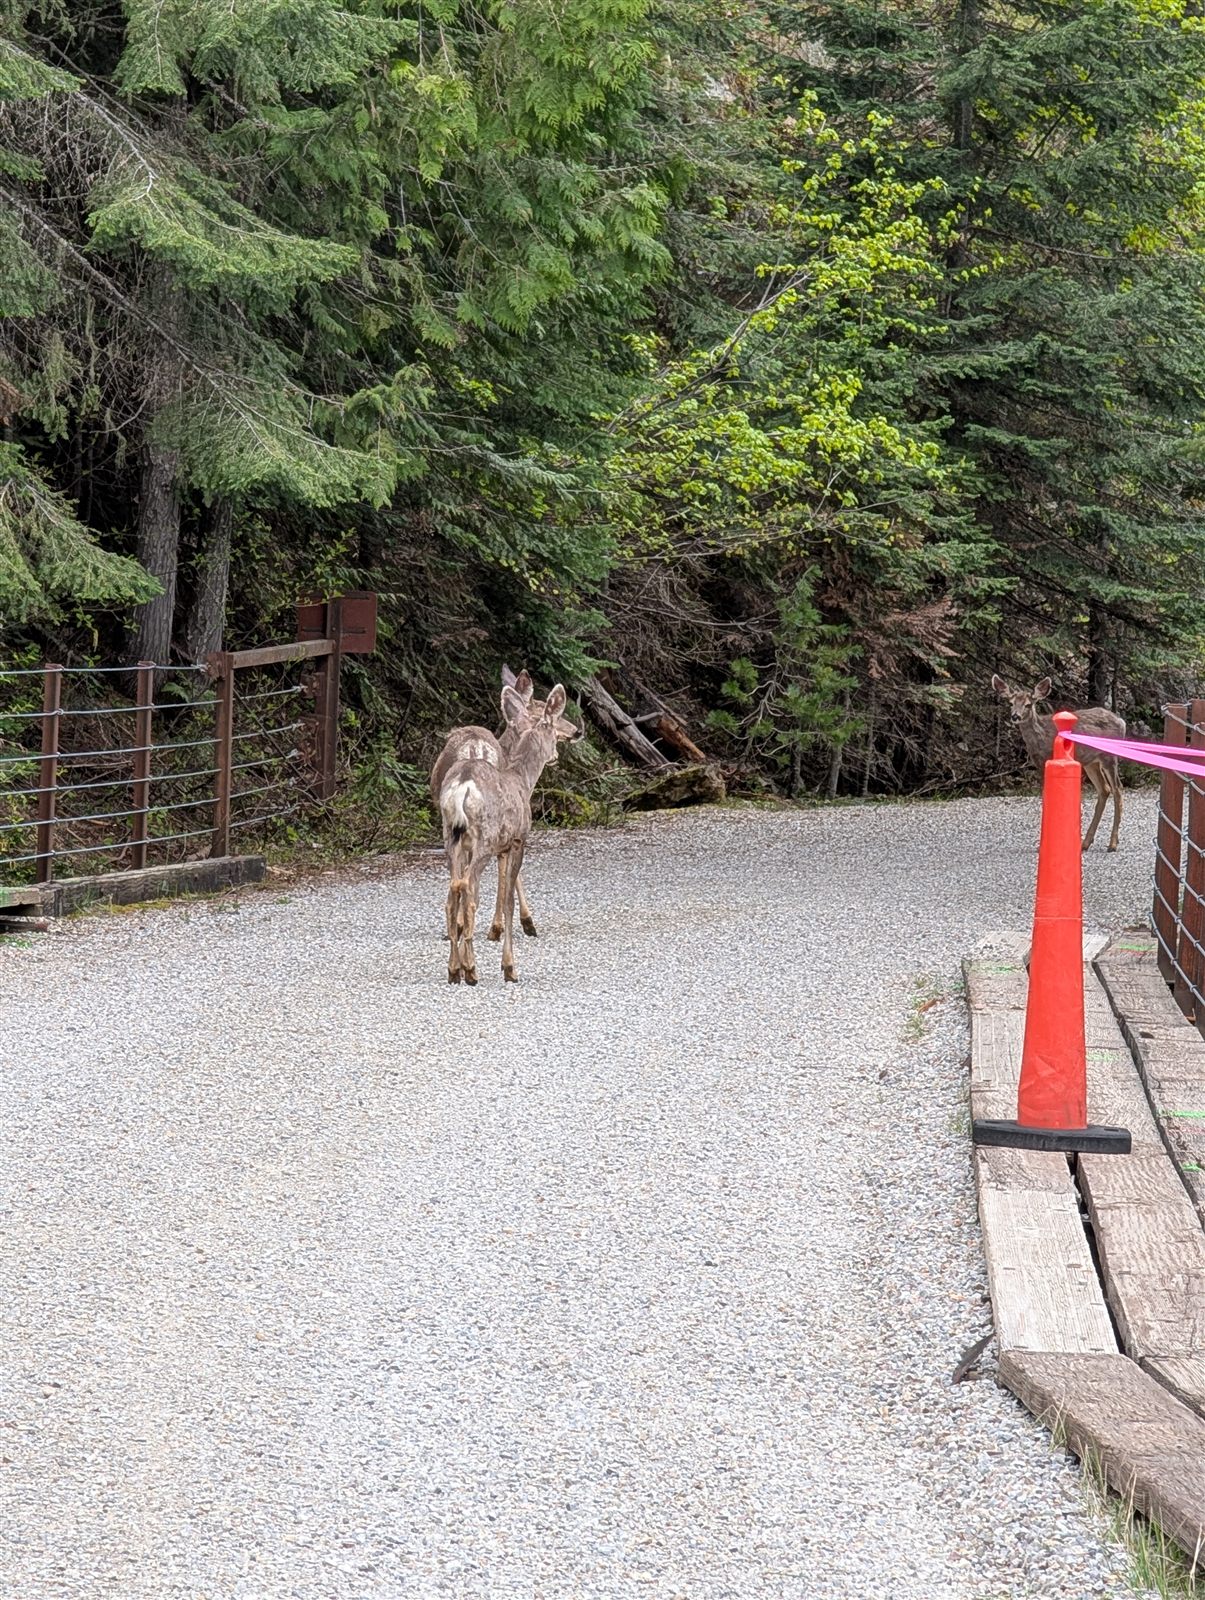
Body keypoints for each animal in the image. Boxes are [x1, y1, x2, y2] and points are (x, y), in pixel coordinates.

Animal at [429, 665, 579, 940]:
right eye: (540, 708)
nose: (576, 731)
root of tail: (476, 747)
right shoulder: (515, 832)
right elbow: (509, 874)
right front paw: (520, 923)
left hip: (451, 830)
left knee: (457, 879)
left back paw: (455, 929)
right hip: (483, 833)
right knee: (471, 880)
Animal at [991, 674, 1125, 851]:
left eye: (1028, 704)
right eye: (1011, 703)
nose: (1015, 716)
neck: (1042, 737)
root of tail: (1122, 722)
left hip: (1109, 756)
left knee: (1118, 789)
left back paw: (1113, 843)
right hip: (1091, 762)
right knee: (1105, 789)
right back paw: (1085, 843)